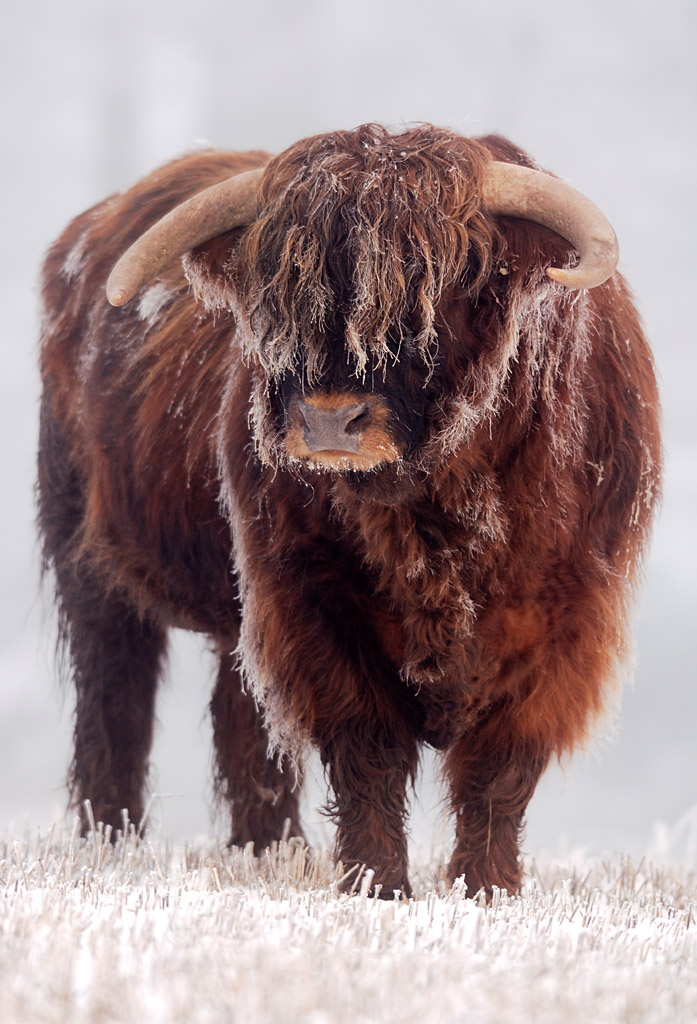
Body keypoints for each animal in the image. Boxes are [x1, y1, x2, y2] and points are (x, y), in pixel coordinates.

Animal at [37, 123, 661, 898]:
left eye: (452, 276)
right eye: (278, 289)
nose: (330, 420)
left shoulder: (562, 624)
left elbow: (500, 770)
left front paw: (486, 889)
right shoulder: (311, 603)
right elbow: (368, 750)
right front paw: (378, 885)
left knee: (238, 717)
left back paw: (269, 850)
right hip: (90, 558)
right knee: (114, 692)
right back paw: (113, 841)